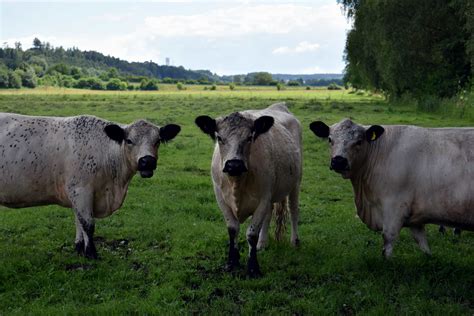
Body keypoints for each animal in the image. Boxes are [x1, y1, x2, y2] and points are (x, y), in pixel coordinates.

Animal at [0, 113, 181, 260]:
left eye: (157, 141)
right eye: (129, 141)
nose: (147, 161)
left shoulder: (77, 195)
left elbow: (78, 221)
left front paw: (79, 248)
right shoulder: (81, 191)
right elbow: (87, 224)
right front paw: (91, 253)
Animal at [194, 103, 302, 276]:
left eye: (250, 137)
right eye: (219, 138)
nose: (234, 165)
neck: (237, 183)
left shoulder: (263, 198)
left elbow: (251, 234)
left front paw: (253, 268)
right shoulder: (221, 198)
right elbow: (233, 229)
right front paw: (232, 262)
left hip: (295, 184)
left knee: (293, 211)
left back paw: (294, 241)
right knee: (269, 215)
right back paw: (262, 244)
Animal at [310, 118, 474, 256]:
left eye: (359, 141)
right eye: (330, 139)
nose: (338, 161)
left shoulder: (394, 206)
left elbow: (388, 240)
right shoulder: (415, 214)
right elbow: (423, 244)